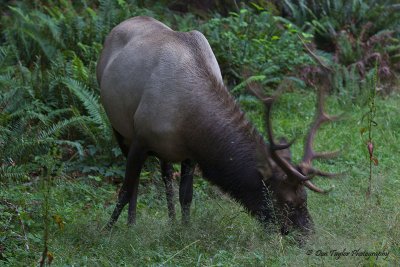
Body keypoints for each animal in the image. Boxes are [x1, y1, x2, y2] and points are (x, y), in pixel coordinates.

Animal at [96, 16, 338, 234]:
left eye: (305, 197)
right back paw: (131, 223)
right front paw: (107, 230)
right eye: (287, 201)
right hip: (119, 126)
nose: (308, 234)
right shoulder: (141, 138)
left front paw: (184, 228)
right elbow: (126, 189)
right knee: (136, 182)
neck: (187, 119)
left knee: (166, 174)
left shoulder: (190, 152)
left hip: (162, 149)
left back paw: (170, 220)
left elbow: (186, 195)